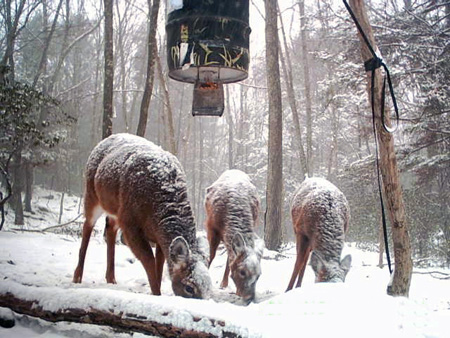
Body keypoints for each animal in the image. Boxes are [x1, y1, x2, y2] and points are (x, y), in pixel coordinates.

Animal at [73, 133, 213, 300]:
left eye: (209, 287)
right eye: (189, 287)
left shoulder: (158, 237)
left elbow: (159, 265)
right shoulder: (130, 224)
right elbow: (149, 260)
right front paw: (156, 293)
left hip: (116, 211)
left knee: (110, 229)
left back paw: (111, 278)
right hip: (92, 195)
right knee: (87, 226)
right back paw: (77, 276)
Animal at [205, 170, 264, 302]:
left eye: (259, 275)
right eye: (242, 272)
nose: (249, 297)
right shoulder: (211, 228)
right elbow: (211, 255)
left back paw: (224, 283)